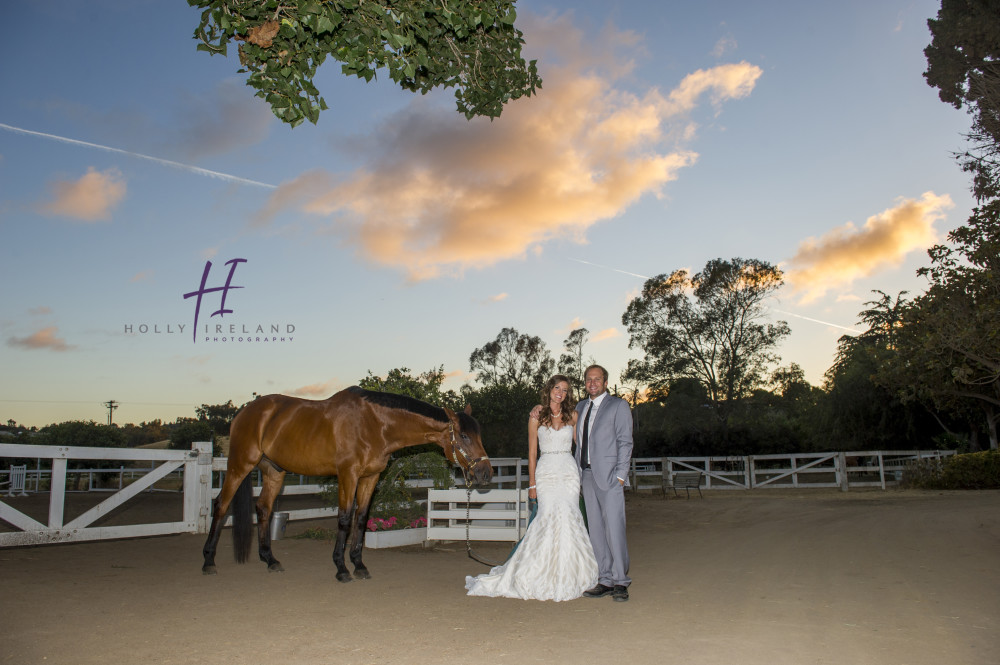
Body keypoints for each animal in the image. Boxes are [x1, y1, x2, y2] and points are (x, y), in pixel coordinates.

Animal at [200, 386, 492, 580]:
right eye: (464, 436)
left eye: (478, 434)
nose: (485, 474)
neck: (374, 424)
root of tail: (244, 412)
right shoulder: (347, 475)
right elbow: (344, 518)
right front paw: (341, 568)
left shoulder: (370, 477)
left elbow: (361, 519)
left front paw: (359, 565)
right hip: (240, 465)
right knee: (221, 505)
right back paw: (208, 560)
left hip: (274, 472)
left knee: (263, 508)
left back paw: (270, 559)